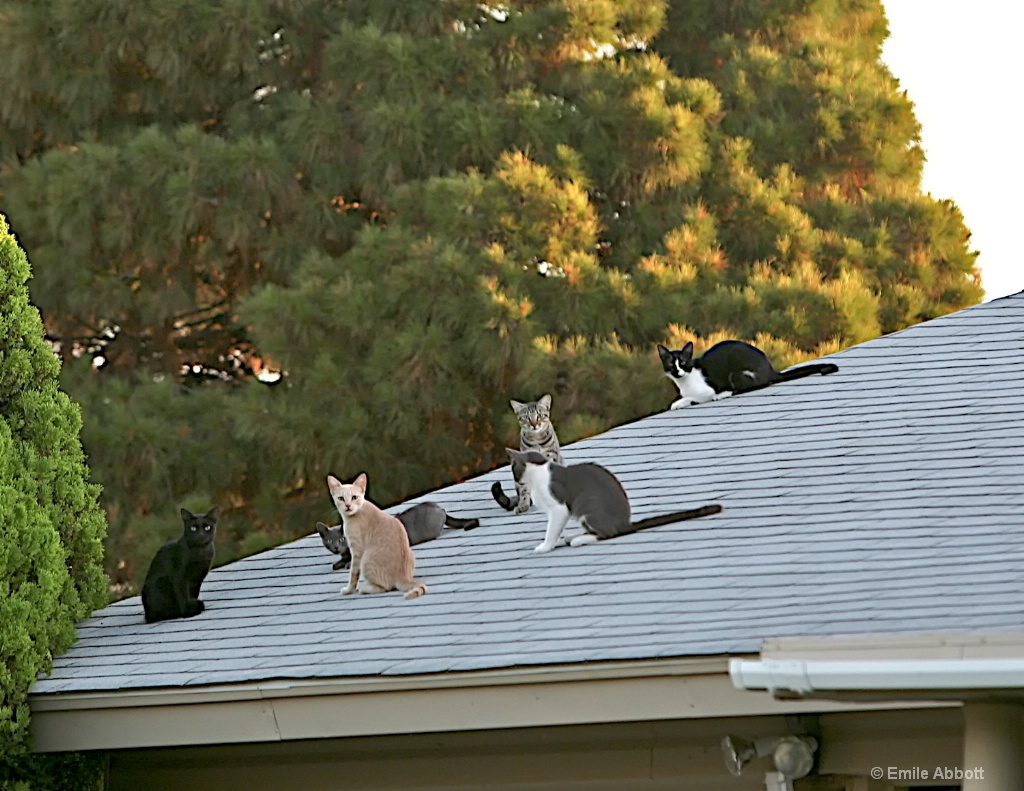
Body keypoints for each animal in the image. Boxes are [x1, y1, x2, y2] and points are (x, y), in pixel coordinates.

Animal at [315, 500, 479, 569]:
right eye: (329, 541)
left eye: (342, 538)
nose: (336, 548)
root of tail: (439, 507)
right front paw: (339, 562)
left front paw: (347, 563)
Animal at [503, 448, 720, 553]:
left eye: (513, 469)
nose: (515, 481)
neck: (538, 475)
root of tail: (625, 523)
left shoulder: (558, 507)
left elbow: (552, 529)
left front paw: (545, 546)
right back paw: (574, 536)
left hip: (587, 504)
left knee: (608, 534)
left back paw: (578, 540)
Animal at [655, 340, 839, 407]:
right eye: (671, 364)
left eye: (683, 363)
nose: (678, 371)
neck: (685, 382)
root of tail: (771, 370)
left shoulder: (705, 391)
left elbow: (694, 398)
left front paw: (680, 403)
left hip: (737, 373)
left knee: (755, 385)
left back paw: (723, 394)